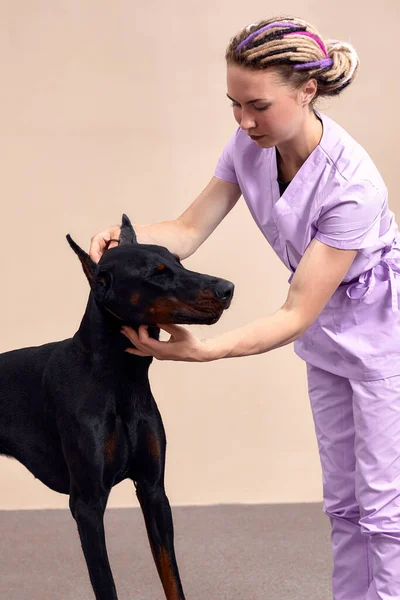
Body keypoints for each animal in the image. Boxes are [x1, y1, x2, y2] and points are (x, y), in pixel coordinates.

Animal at [0, 216, 234, 600]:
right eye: (155, 274)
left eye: (179, 262)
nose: (228, 288)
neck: (119, 377)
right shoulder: (87, 504)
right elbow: (105, 584)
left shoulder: (153, 490)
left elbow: (172, 577)